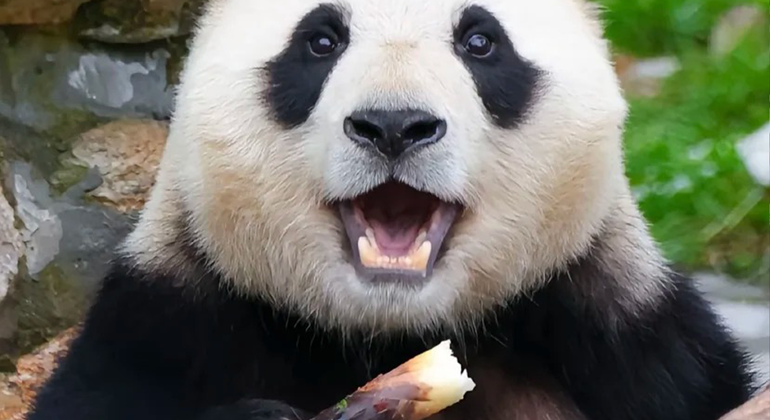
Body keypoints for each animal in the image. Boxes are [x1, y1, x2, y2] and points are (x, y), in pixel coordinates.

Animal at [28, 0, 757, 419]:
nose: (394, 125)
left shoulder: (625, 335)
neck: (389, 331)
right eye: (321, 41)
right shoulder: (165, 326)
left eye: (480, 41)